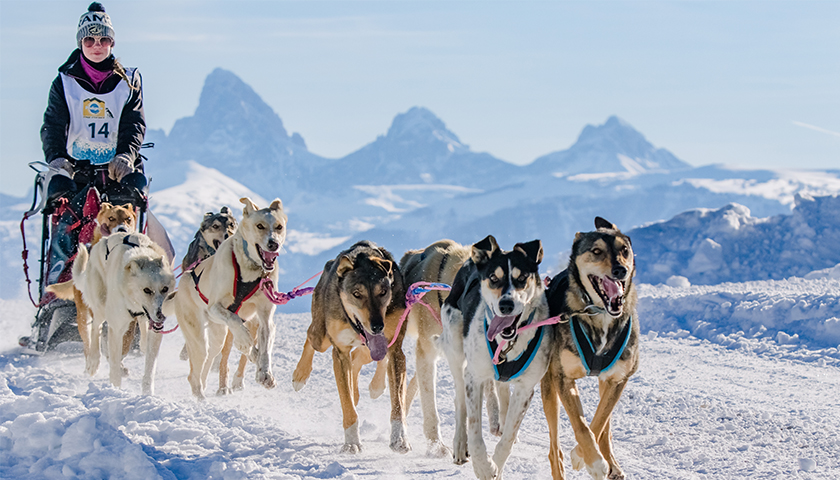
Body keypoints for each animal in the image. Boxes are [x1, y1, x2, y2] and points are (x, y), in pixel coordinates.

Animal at [176, 197, 288, 400]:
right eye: (260, 226)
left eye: (279, 227)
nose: (273, 244)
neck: (250, 270)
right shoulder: (215, 307)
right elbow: (235, 321)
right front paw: (244, 341)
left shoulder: (264, 316)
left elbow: (265, 346)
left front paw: (265, 373)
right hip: (198, 337)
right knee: (194, 372)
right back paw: (200, 396)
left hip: (217, 336)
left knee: (210, 359)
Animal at [292, 240, 414, 454]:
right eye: (357, 294)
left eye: (383, 292)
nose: (377, 326)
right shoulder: (340, 353)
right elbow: (347, 404)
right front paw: (351, 442)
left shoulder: (395, 349)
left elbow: (398, 402)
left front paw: (399, 438)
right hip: (321, 336)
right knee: (311, 336)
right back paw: (300, 374)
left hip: (370, 349)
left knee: (360, 359)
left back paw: (371, 386)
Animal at [440, 234, 552, 478]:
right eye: (493, 278)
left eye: (522, 278)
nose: (506, 304)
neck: (507, 343)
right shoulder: (474, 377)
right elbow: (475, 430)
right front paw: (483, 467)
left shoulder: (526, 388)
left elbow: (508, 437)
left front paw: (496, 466)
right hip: (456, 348)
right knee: (460, 400)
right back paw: (460, 444)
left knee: (501, 392)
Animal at [540, 218, 640, 480]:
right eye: (596, 251)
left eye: (624, 250)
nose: (620, 270)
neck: (601, 314)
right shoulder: (563, 378)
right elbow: (581, 425)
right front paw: (592, 461)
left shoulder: (618, 379)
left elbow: (599, 422)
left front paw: (584, 456)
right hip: (549, 388)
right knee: (554, 449)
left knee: (605, 427)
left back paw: (612, 463)